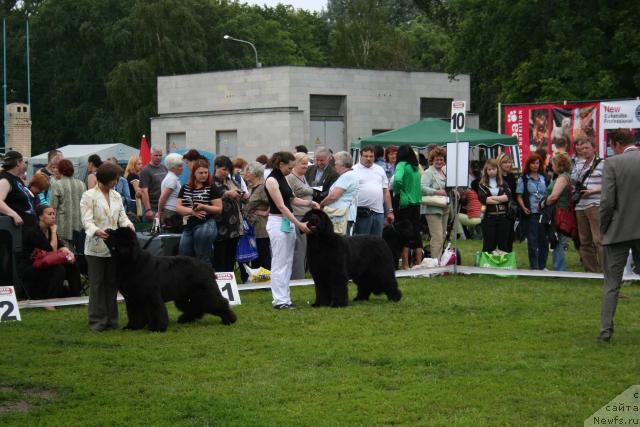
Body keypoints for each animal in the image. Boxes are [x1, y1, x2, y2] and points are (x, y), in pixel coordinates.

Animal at [105, 229, 238, 332]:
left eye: (115, 234)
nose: (107, 230)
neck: (132, 263)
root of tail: (207, 267)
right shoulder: (133, 298)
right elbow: (134, 313)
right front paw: (132, 327)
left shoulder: (151, 295)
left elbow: (155, 311)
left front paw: (157, 328)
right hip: (186, 296)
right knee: (195, 307)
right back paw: (184, 319)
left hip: (204, 293)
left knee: (219, 302)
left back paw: (230, 319)